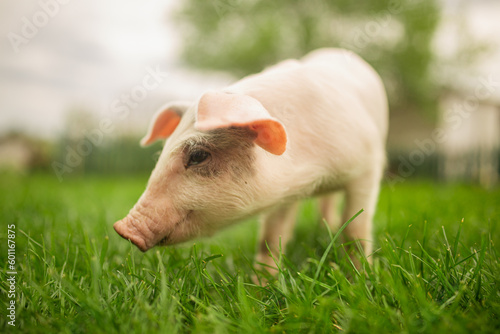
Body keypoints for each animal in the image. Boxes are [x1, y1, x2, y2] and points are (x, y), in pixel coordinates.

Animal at [113, 48, 386, 270]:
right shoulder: (284, 193)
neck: (313, 177)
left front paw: (361, 277)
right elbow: (269, 239)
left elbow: (355, 231)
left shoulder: (368, 167)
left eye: (198, 155)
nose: (123, 229)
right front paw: (261, 285)